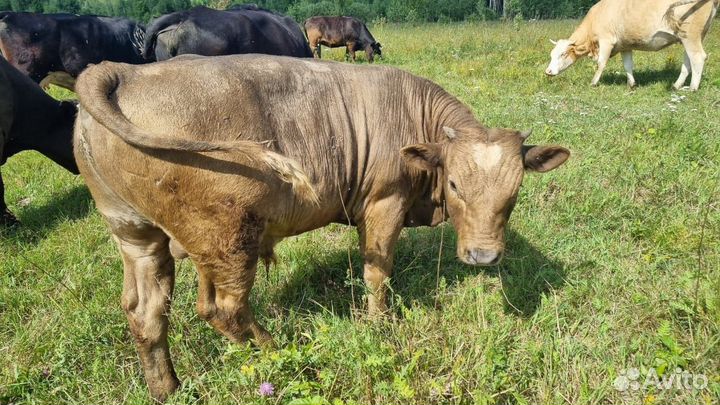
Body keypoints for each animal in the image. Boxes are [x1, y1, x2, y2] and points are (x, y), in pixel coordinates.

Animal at [73, 54, 569, 401]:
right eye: (454, 183)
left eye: (515, 191)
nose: (484, 256)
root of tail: (121, 71)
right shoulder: (385, 202)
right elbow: (377, 272)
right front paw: (380, 323)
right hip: (226, 239)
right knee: (222, 308)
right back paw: (277, 350)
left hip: (137, 234)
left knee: (146, 314)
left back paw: (167, 388)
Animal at [545, 0, 719, 90]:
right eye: (551, 54)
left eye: (563, 54)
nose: (548, 71)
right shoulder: (625, 45)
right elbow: (628, 65)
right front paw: (632, 84)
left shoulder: (606, 40)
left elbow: (601, 63)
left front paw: (593, 83)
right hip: (689, 37)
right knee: (688, 61)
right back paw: (676, 85)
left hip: (691, 35)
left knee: (698, 57)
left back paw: (693, 88)